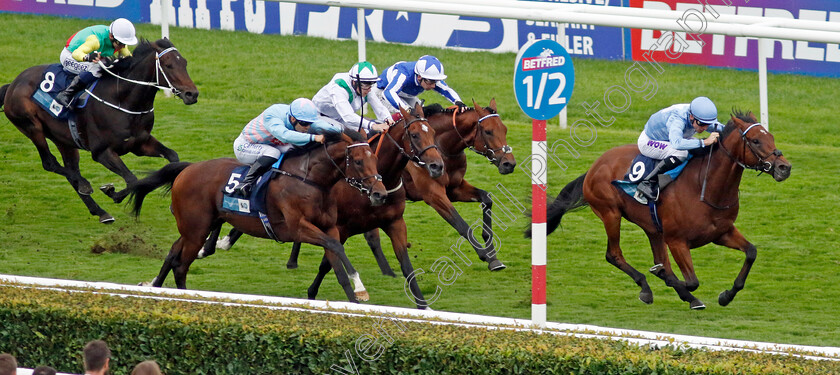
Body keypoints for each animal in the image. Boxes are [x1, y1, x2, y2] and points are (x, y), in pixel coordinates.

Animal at [0, 39, 199, 223]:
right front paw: (113, 193)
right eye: (168, 65)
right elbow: (132, 179)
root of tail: (12, 84)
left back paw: (100, 211)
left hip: (63, 140)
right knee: (50, 163)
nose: (192, 94)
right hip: (31, 126)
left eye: (185, 63)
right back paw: (85, 185)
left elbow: (173, 157)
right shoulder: (102, 152)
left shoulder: (140, 144)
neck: (122, 99)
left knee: (70, 170)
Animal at [129, 131, 388, 304]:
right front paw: (361, 288)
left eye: (375, 159)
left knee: (173, 253)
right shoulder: (297, 228)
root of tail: (188, 169)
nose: (380, 194)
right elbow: (335, 247)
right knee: (181, 266)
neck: (311, 180)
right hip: (196, 230)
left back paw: (156, 286)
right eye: (358, 161)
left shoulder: (329, 227)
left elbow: (336, 261)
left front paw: (354, 297)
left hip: (195, 227)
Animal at [532, 110, 796, 310]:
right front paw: (679, 288)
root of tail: (595, 166)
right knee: (614, 254)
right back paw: (646, 289)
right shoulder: (677, 240)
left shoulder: (722, 232)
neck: (706, 187)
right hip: (610, 213)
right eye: (755, 141)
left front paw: (726, 296)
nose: (784, 167)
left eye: (772, 136)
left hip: (652, 228)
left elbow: (751, 252)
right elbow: (690, 280)